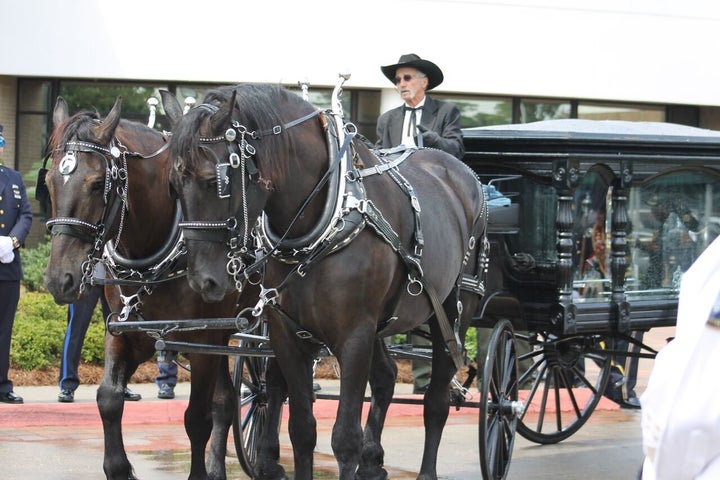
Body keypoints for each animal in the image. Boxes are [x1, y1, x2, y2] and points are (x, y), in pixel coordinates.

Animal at [44, 97, 245, 480]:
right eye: (49, 181)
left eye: (97, 183)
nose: (59, 279)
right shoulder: (127, 332)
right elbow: (108, 398)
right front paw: (119, 466)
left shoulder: (201, 340)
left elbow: (197, 418)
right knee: (227, 402)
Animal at [164, 84, 490, 478]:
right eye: (173, 186)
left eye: (215, 181)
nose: (203, 282)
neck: (328, 218)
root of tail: (461, 172)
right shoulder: (288, 336)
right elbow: (302, 429)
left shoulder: (354, 336)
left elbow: (345, 438)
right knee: (386, 377)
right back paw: (373, 462)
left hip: (453, 312)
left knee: (436, 401)